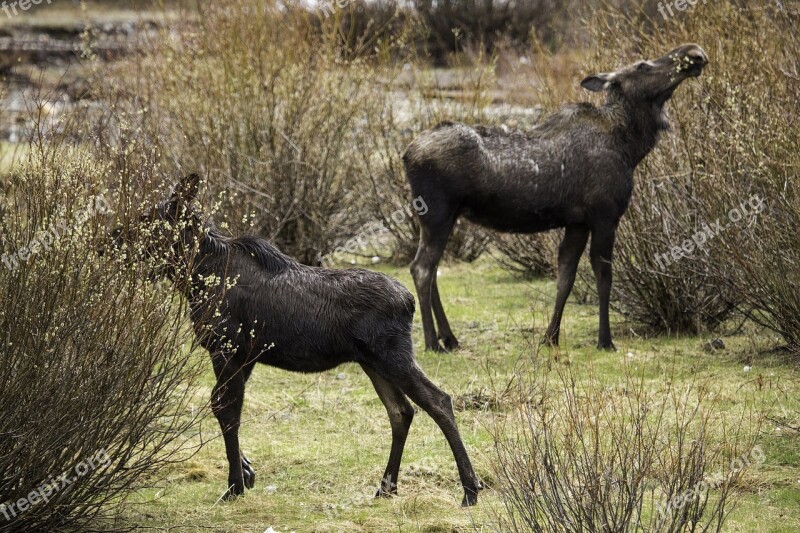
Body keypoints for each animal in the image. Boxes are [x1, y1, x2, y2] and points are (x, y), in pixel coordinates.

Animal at [110, 174, 484, 508]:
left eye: (146, 218)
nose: (107, 240)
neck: (195, 277)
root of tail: (408, 301)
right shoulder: (244, 356)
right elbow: (225, 407)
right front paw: (247, 473)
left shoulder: (227, 349)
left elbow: (225, 409)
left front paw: (234, 486)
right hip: (372, 362)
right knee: (401, 411)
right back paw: (386, 488)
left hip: (393, 356)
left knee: (438, 401)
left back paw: (470, 489)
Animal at [404, 42, 708, 350]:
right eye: (642, 66)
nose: (695, 53)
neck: (630, 147)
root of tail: (406, 154)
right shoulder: (604, 216)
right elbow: (604, 277)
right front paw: (605, 340)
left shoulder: (577, 223)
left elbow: (565, 278)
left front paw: (550, 337)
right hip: (437, 213)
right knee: (421, 269)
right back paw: (432, 342)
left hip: (445, 217)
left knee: (432, 270)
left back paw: (449, 337)